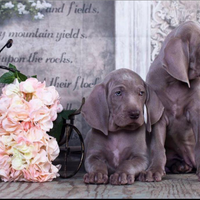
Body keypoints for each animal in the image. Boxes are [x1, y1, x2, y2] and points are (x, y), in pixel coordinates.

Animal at [139, 21, 200, 182]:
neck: (174, 82)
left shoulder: (196, 112)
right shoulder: (158, 115)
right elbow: (158, 145)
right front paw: (154, 171)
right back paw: (179, 166)